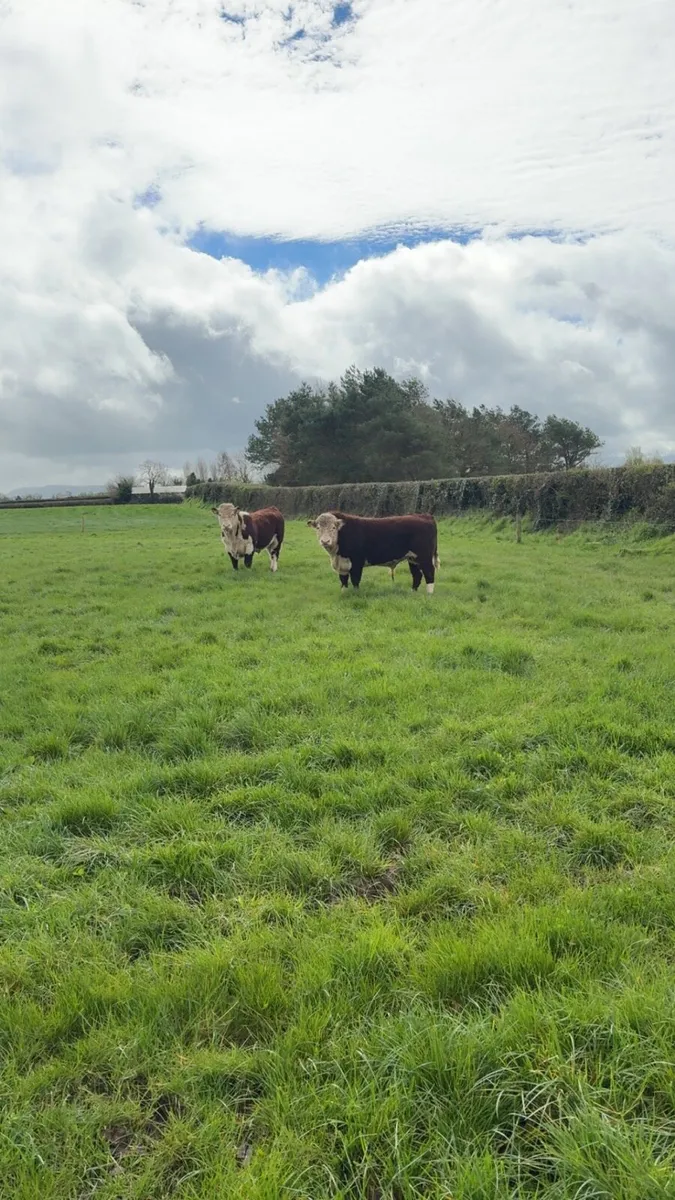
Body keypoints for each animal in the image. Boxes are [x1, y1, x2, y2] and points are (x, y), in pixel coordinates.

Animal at [307, 511, 439, 593]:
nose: (325, 541)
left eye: (333, 528)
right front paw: (344, 593)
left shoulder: (357, 563)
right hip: (412, 558)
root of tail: (424, 515)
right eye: (318, 528)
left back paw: (429, 594)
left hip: (424, 556)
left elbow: (355, 580)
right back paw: (413, 592)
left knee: (429, 573)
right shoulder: (342, 565)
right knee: (417, 575)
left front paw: (356, 594)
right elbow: (343, 581)